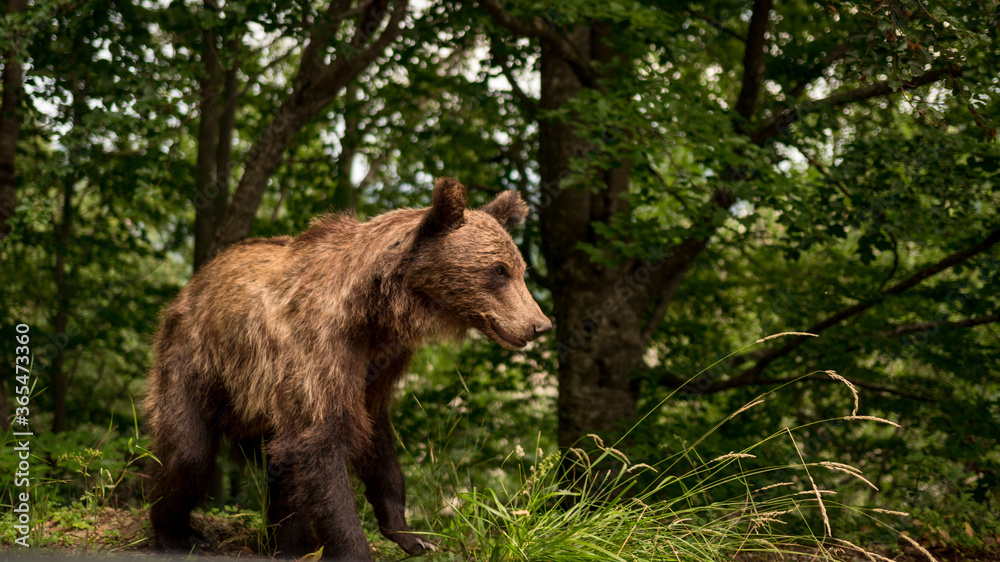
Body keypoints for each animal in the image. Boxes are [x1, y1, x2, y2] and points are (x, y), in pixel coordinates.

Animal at [144, 178, 552, 556]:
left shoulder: (381, 363)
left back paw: (291, 543)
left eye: (521, 269)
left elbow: (376, 438)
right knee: (188, 450)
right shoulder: (319, 348)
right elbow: (323, 442)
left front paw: (414, 536)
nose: (539, 324)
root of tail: (195, 280)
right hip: (195, 360)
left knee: (281, 466)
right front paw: (353, 546)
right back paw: (177, 533)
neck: (375, 310)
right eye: (498, 270)